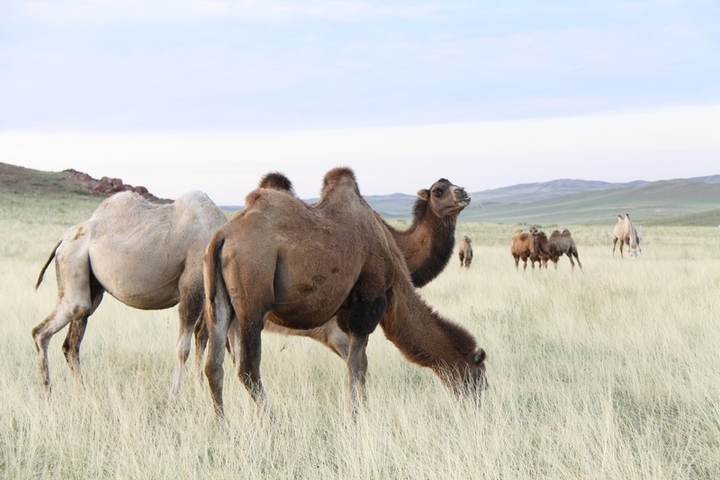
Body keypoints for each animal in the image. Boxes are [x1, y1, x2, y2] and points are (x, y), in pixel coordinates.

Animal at [201, 169, 490, 416]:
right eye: (479, 373)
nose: (480, 404)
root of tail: (222, 236)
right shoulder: (367, 303)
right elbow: (357, 365)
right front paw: (356, 415)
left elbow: (360, 365)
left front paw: (362, 409)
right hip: (253, 297)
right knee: (248, 369)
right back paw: (273, 424)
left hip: (219, 304)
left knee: (214, 365)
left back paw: (222, 426)